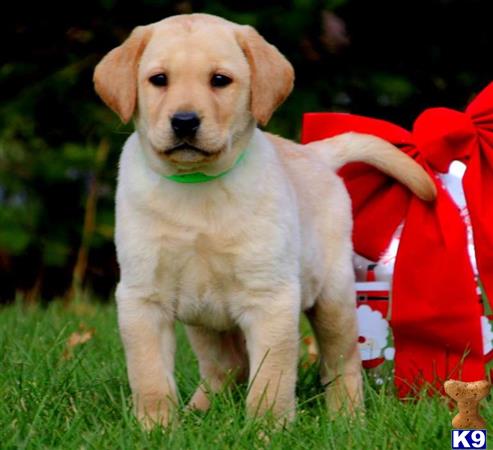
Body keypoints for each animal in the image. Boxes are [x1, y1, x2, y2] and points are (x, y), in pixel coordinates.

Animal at [93, 14, 434, 428]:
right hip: (203, 320)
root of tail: (313, 153)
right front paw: (156, 428)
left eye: (219, 80)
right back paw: (197, 412)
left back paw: (347, 420)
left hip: (334, 295)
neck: (197, 185)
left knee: (342, 364)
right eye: (159, 79)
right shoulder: (142, 296)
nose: (185, 122)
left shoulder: (270, 297)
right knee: (226, 366)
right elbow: (150, 376)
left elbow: (270, 379)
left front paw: (267, 430)